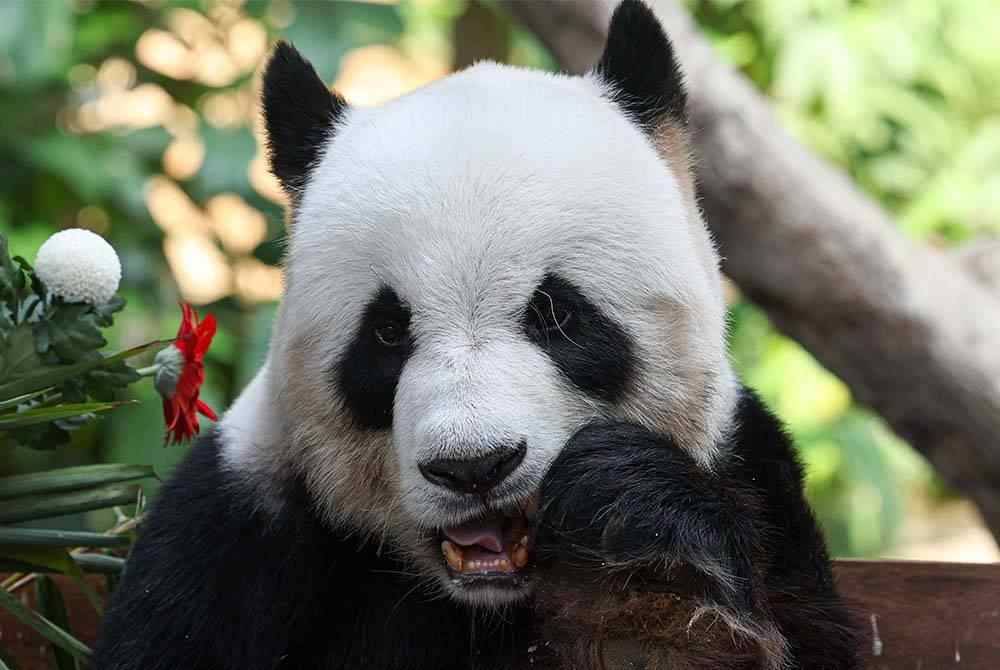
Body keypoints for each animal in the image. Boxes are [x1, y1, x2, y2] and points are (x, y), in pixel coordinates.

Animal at [92, 2, 860, 668]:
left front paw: (643, 532)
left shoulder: (755, 481)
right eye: (387, 331)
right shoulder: (234, 527)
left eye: (557, 314)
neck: (489, 601)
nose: (474, 467)